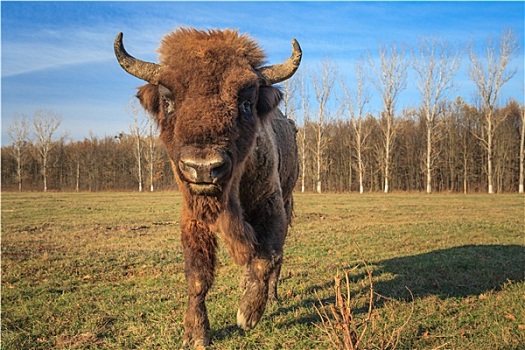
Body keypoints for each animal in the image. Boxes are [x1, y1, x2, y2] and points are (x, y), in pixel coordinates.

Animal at [114, 28, 300, 348]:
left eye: (246, 102)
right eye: (168, 100)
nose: (202, 167)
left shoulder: (272, 206)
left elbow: (266, 259)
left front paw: (247, 315)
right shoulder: (193, 216)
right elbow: (198, 274)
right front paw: (196, 333)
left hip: (288, 200)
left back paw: (272, 298)